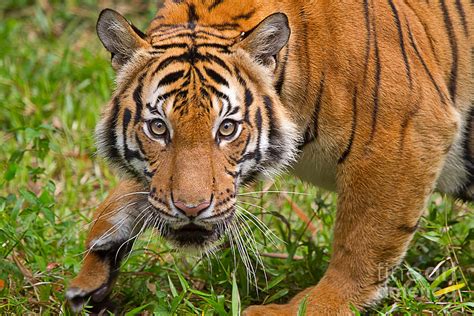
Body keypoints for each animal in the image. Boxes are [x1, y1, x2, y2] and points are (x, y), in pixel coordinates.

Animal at [65, 0, 470, 314]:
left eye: (227, 128)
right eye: (158, 128)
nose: (192, 209)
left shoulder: (404, 134)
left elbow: (362, 241)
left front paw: (313, 305)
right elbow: (129, 192)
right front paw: (93, 266)